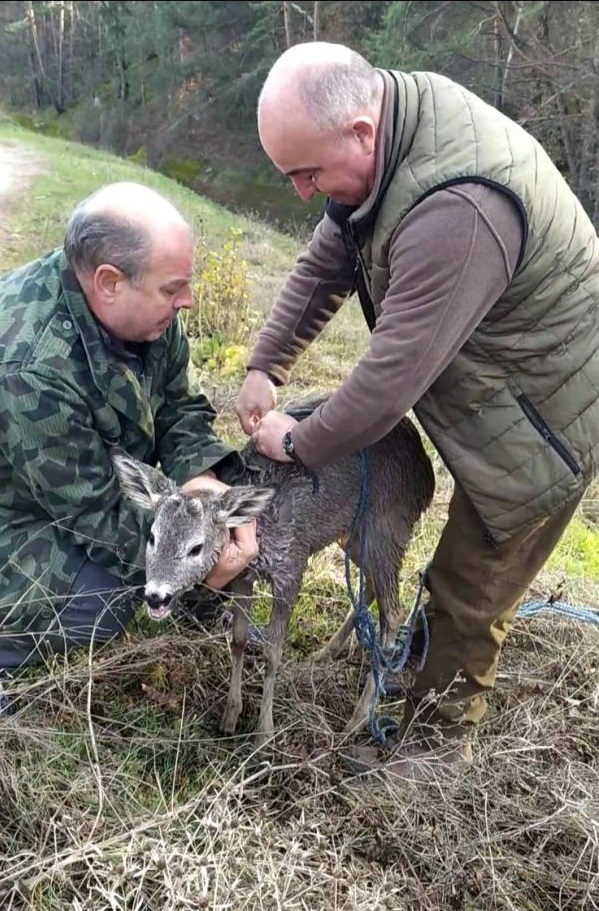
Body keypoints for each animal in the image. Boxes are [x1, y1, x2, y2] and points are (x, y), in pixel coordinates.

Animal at [112, 400, 434, 748]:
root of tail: (428, 476)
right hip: (355, 534)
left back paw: (356, 720)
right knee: (372, 585)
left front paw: (264, 733)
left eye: (196, 548)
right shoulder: (243, 575)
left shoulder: (291, 566)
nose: (155, 595)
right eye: (152, 536)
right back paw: (325, 653)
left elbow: (272, 653)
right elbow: (238, 640)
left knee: (394, 612)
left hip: (388, 523)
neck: (261, 526)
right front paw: (231, 716)